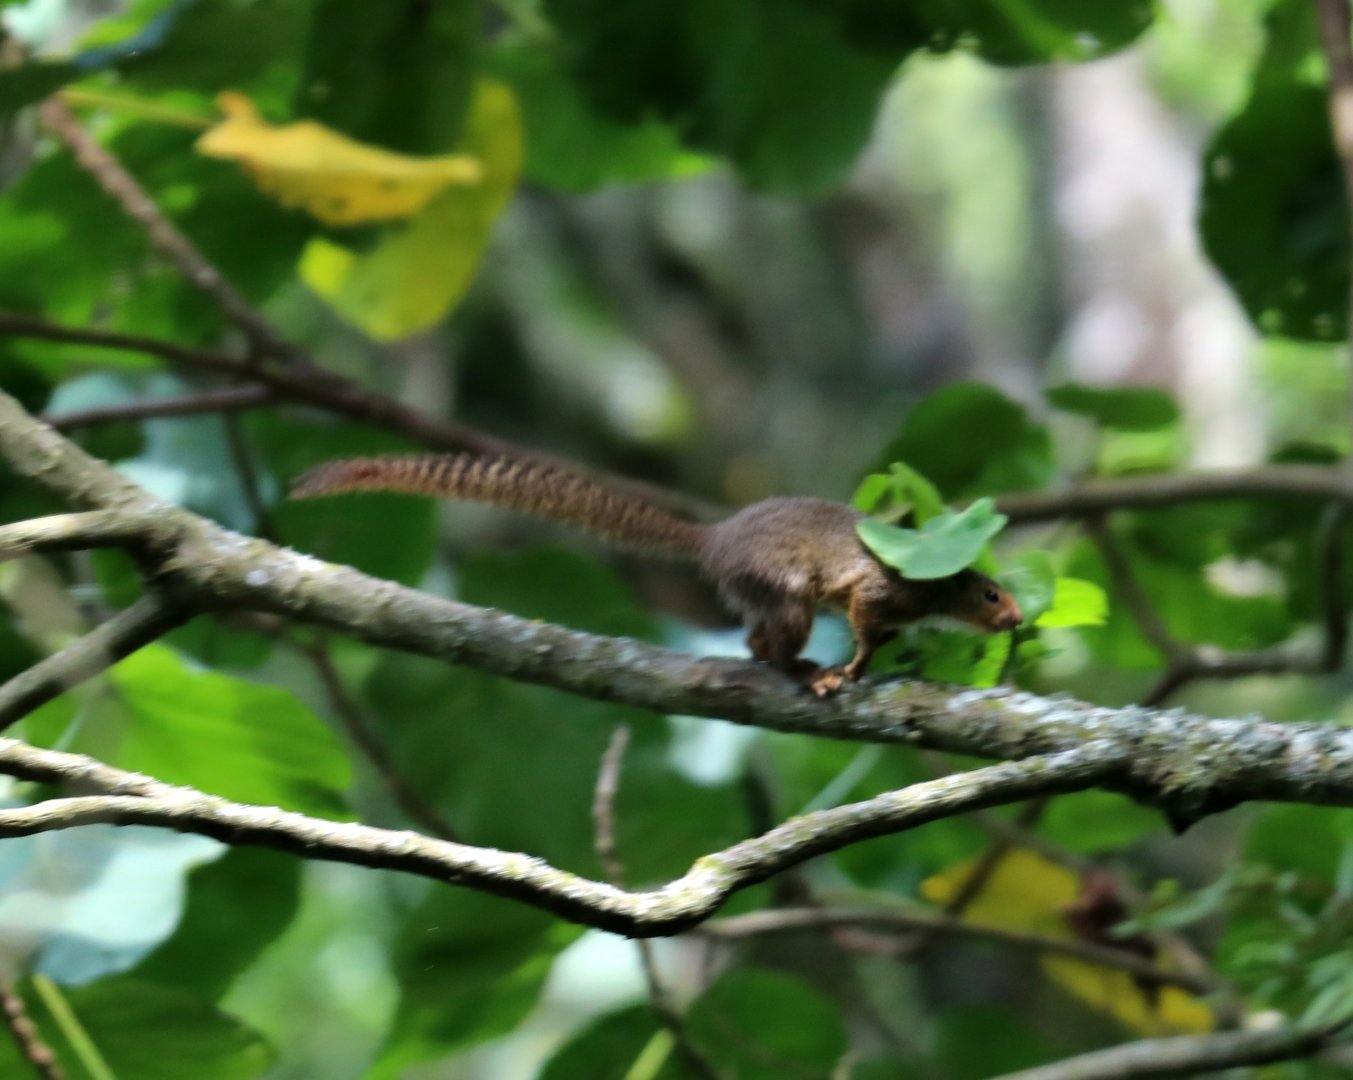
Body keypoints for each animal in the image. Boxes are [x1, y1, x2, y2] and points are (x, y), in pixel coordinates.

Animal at [290, 454, 1023, 694]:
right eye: (991, 593)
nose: (1018, 618)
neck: (935, 588)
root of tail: (713, 538)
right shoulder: (883, 589)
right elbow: (868, 627)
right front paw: (855, 669)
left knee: (753, 639)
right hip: (783, 589)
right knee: (772, 640)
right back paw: (802, 670)